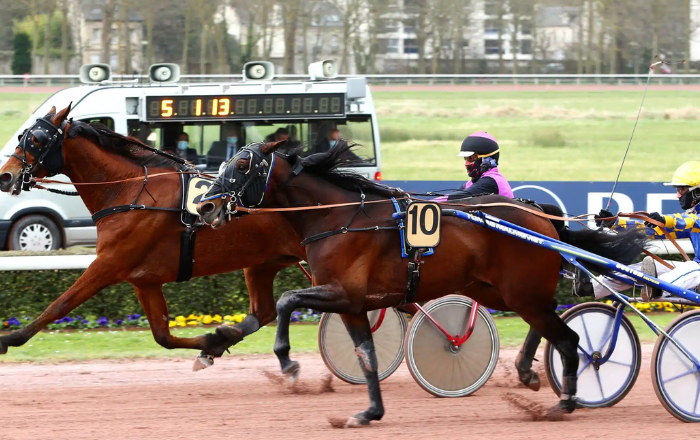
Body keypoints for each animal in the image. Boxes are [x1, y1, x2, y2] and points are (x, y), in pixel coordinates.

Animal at [0, 105, 306, 362]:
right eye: (22, 135)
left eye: (37, 139)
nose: (6, 176)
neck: (129, 190)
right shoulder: (145, 280)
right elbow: (163, 336)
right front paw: (212, 341)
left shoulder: (109, 264)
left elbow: (59, 305)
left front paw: (9, 338)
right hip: (263, 263)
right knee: (264, 310)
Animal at [197, 144, 644, 426]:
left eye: (242, 165)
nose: (206, 205)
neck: (338, 218)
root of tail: (541, 216)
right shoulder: (353, 304)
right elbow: (367, 356)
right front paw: (369, 413)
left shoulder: (343, 292)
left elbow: (287, 301)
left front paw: (288, 362)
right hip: (500, 292)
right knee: (547, 326)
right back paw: (528, 373)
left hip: (521, 293)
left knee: (568, 338)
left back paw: (565, 401)